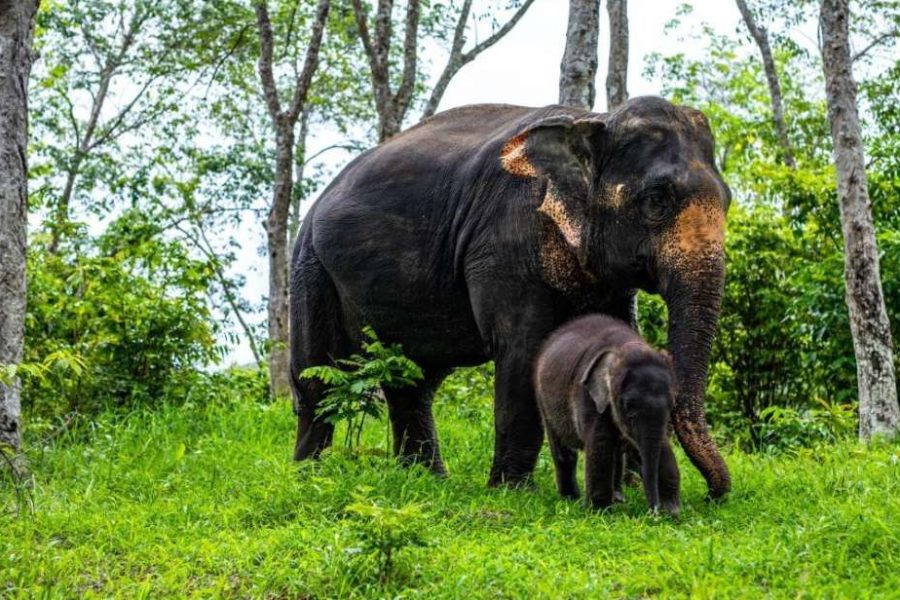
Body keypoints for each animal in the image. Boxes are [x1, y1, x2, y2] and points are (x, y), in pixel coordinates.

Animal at [536, 314, 680, 516]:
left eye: (672, 404)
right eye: (628, 406)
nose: (653, 513)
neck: (626, 347)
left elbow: (663, 447)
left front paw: (671, 513)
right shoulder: (588, 396)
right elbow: (600, 444)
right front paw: (600, 513)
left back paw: (618, 498)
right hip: (544, 400)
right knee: (563, 450)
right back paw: (571, 499)